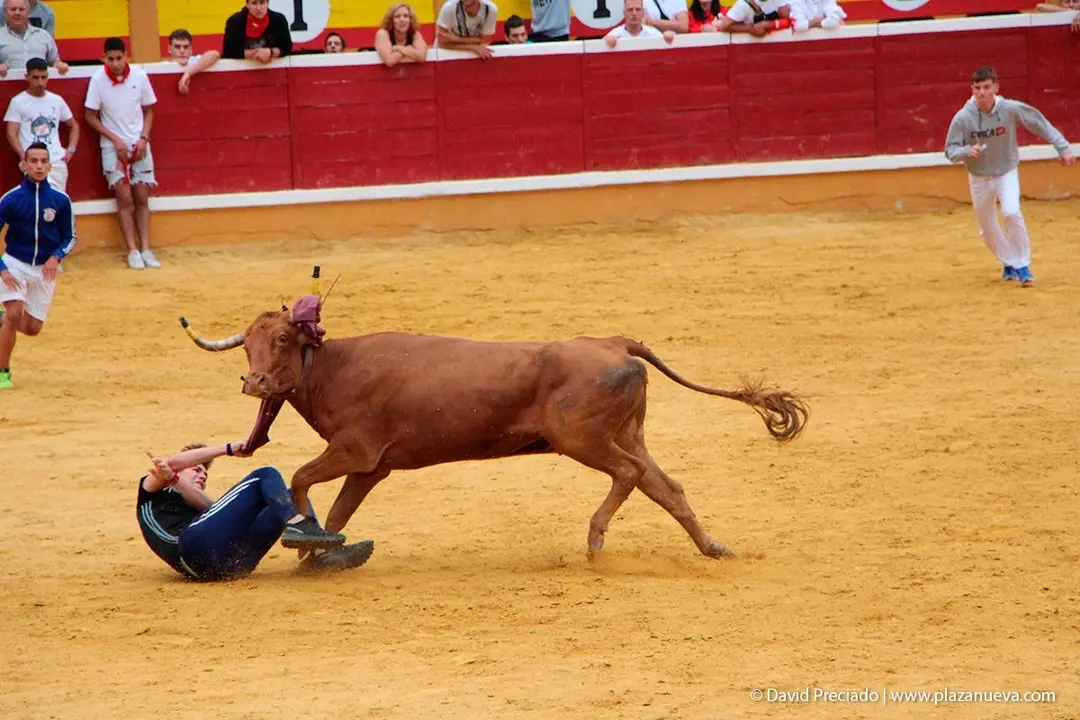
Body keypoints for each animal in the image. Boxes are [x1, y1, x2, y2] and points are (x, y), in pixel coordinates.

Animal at [179, 291, 809, 562]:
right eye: (249, 343)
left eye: (284, 338)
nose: (254, 382)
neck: (333, 366)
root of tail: (613, 342)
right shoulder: (372, 467)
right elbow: (336, 512)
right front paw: (322, 553)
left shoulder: (354, 451)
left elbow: (302, 481)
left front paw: (307, 542)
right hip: (625, 433)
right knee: (665, 485)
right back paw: (712, 548)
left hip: (582, 440)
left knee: (629, 475)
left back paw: (595, 538)